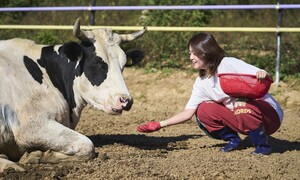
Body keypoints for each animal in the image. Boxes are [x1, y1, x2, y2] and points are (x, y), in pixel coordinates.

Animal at [0, 18, 146, 173]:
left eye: (123, 65)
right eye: (96, 62)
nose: (126, 100)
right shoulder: (31, 126)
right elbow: (87, 145)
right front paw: (37, 155)